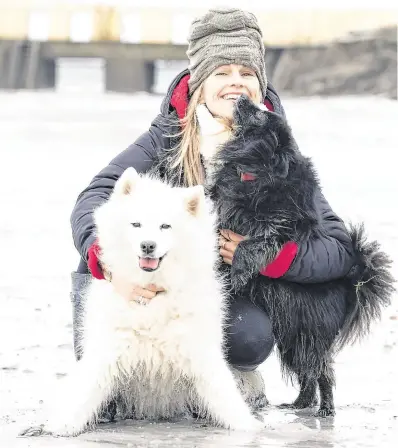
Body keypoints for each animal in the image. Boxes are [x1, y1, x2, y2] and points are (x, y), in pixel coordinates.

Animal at [22, 166, 264, 436]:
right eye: (136, 224)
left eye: (165, 226)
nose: (148, 245)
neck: (153, 291)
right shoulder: (110, 345)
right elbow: (86, 389)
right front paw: (62, 425)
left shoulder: (196, 346)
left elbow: (222, 389)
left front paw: (247, 424)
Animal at [208, 94, 394, 416]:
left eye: (260, 112)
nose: (241, 97)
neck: (257, 169)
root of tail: (350, 287)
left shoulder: (279, 230)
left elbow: (253, 244)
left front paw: (239, 273)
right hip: (291, 336)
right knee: (308, 374)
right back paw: (299, 403)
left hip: (309, 333)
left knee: (322, 370)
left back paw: (326, 408)